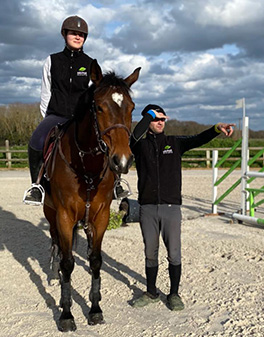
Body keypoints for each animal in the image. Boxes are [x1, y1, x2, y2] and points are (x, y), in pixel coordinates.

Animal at [43, 58, 140, 330]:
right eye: (98, 107)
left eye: (132, 108)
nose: (122, 160)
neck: (86, 166)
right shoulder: (64, 216)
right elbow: (67, 262)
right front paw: (66, 314)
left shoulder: (100, 216)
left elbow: (95, 260)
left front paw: (95, 309)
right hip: (51, 213)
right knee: (57, 245)